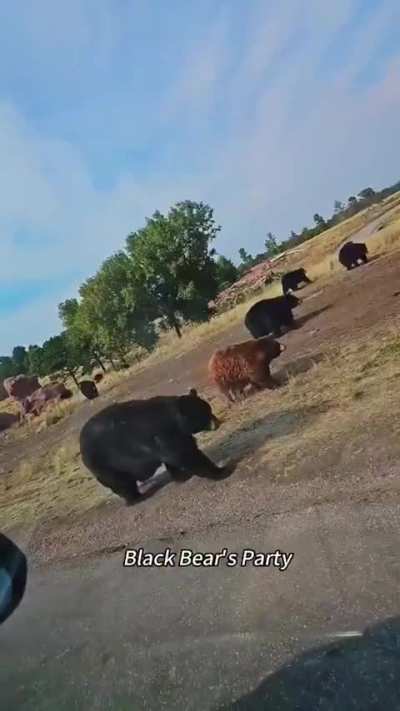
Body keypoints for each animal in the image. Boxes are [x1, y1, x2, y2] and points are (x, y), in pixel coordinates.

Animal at [79, 388, 229, 505]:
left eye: (209, 409)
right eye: (205, 413)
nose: (218, 422)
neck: (174, 419)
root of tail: (81, 447)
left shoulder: (175, 435)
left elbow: (175, 457)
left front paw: (181, 475)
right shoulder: (163, 434)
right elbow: (185, 454)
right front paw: (220, 470)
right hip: (105, 463)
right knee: (121, 482)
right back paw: (135, 498)